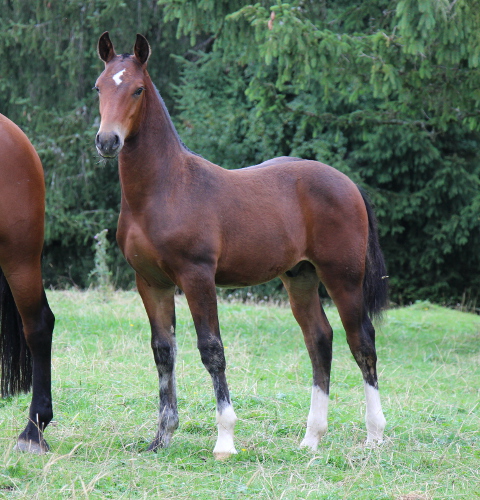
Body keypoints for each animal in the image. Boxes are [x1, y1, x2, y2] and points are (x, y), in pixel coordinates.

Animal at [94, 33, 390, 458]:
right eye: (99, 87)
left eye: (137, 89)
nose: (107, 141)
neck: (165, 189)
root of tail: (347, 183)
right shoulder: (151, 283)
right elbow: (163, 351)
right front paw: (161, 437)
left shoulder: (197, 277)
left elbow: (211, 350)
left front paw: (225, 439)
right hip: (300, 277)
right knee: (320, 340)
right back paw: (311, 438)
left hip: (343, 277)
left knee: (361, 341)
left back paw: (374, 435)